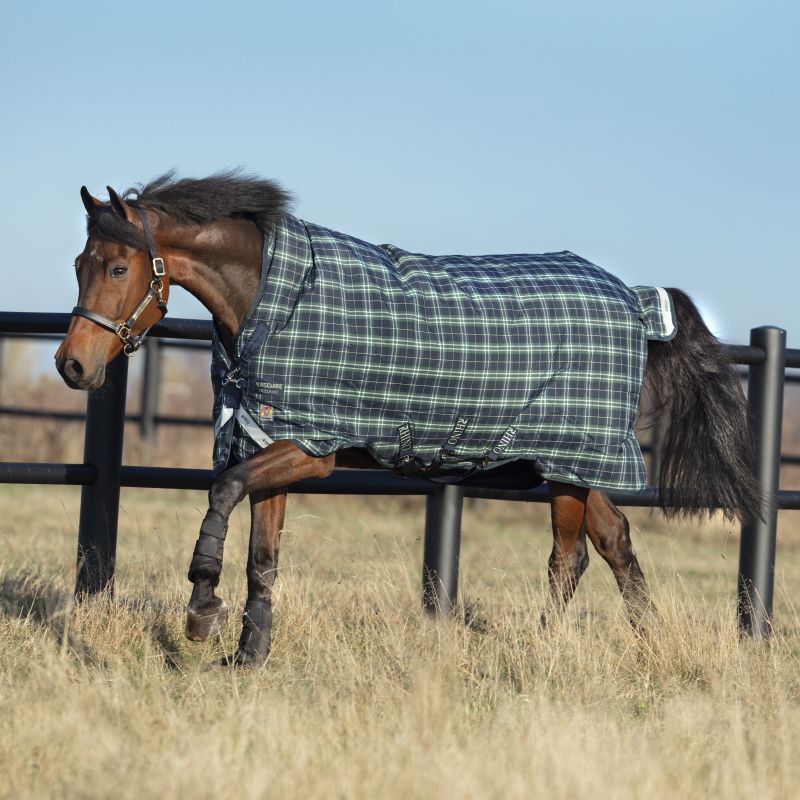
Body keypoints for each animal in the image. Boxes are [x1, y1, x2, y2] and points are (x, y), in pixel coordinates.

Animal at [55, 172, 760, 667]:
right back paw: (649, 643)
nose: (72, 365)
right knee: (614, 540)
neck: (275, 298)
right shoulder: (267, 440)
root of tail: (635, 301)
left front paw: (201, 610)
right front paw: (247, 656)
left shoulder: (310, 447)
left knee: (570, 557)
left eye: (118, 267)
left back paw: (543, 652)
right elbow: (263, 555)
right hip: (574, 465)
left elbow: (222, 494)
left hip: (568, 459)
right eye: (78, 265)